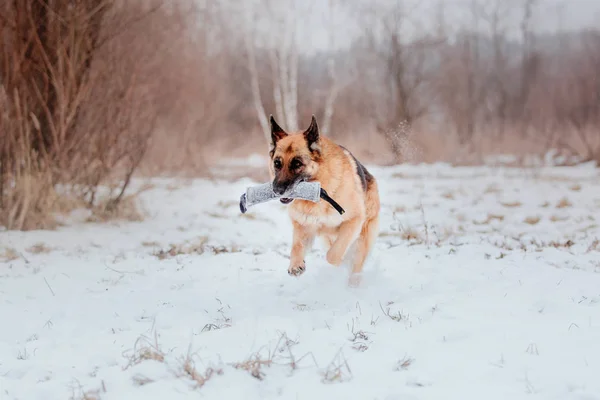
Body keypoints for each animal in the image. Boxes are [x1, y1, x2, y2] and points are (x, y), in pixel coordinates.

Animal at [268, 115, 380, 284]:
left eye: (297, 163)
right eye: (277, 163)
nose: (277, 190)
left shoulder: (354, 221)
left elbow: (333, 255)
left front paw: (338, 261)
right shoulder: (304, 226)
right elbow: (296, 246)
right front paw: (296, 265)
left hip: (362, 237)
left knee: (355, 264)